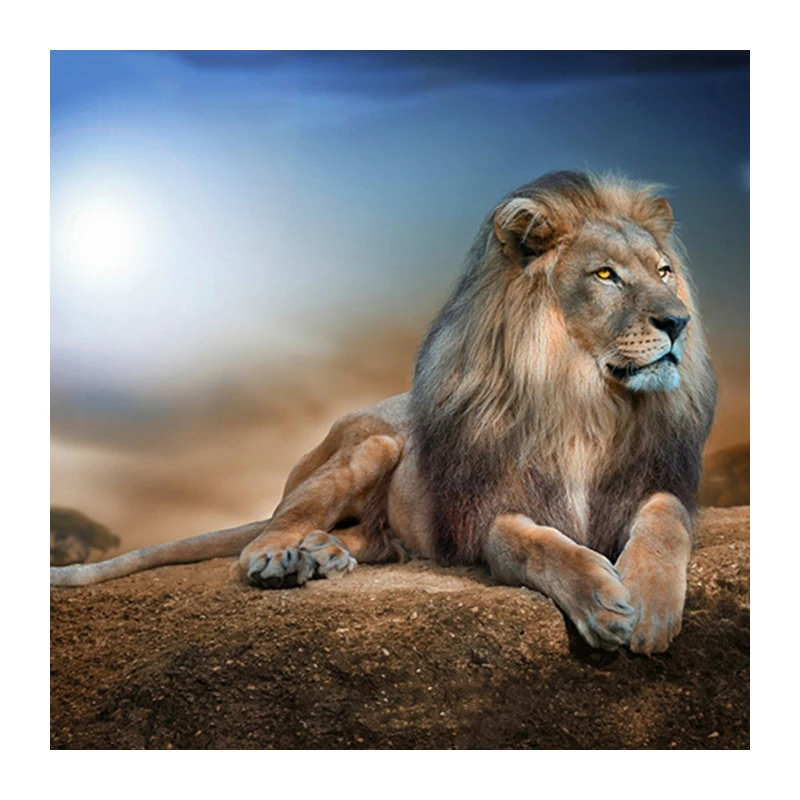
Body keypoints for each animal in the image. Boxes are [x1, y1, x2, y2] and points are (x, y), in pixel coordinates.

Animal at [51, 171, 717, 655]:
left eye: (664, 272)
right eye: (605, 275)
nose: (678, 322)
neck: (585, 403)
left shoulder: (654, 483)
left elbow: (664, 522)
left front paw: (650, 605)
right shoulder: (488, 513)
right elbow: (537, 544)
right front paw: (603, 601)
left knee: (363, 536)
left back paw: (325, 554)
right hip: (373, 445)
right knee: (269, 530)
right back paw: (282, 558)